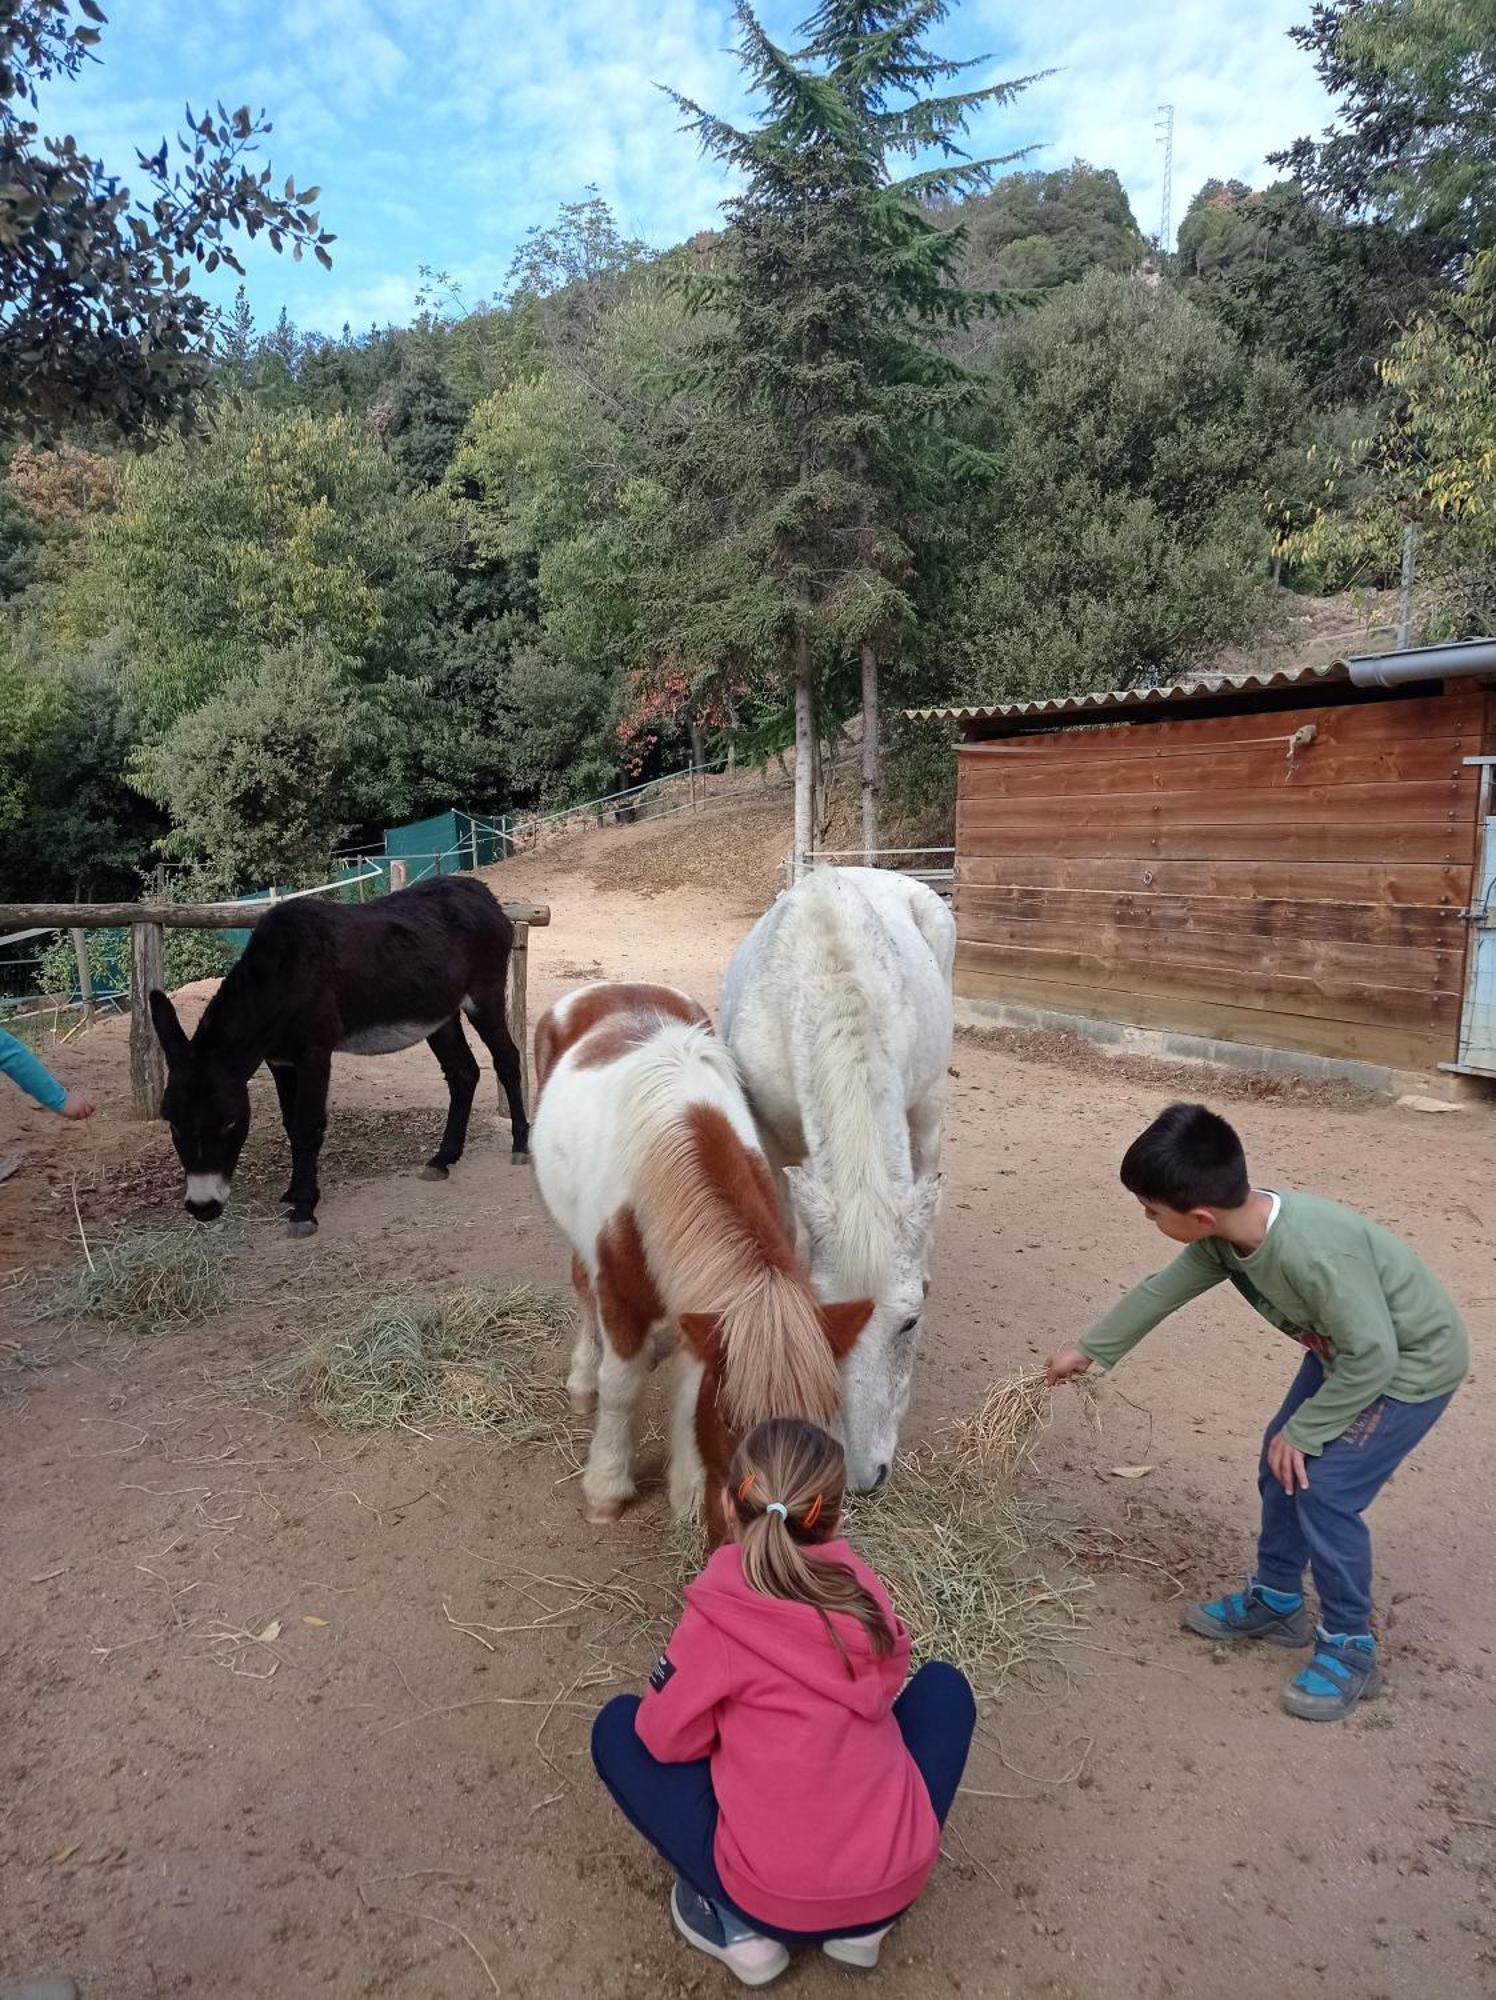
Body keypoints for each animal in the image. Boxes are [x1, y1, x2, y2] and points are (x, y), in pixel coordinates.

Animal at [528, 984, 872, 1544]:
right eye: (732, 1421)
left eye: (824, 1417)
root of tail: (607, 989)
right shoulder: (622, 1300)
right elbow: (621, 1389)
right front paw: (606, 1489)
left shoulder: (703, 1311)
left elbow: (690, 1396)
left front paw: (686, 1495)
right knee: (583, 1291)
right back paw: (583, 1382)